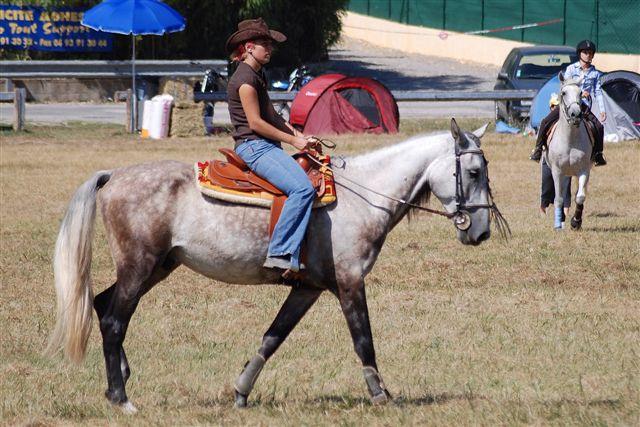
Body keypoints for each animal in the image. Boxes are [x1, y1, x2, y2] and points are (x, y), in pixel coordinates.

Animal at [45, 118, 508, 412]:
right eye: (473, 171)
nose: (481, 231)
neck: (362, 195)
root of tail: (114, 175)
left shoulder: (308, 288)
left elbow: (273, 337)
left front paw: (241, 393)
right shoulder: (350, 282)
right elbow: (363, 340)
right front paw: (381, 395)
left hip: (158, 266)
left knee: (103, 306)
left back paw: (121, 380)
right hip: (140, 265)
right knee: (114, 320)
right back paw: (121, 398)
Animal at [544, 72, 596, 231]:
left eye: (580, 93)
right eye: (564, 93)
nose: (576, 114)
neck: (570, 140)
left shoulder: (584, 170)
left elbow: (580, 196)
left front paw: (576, 222)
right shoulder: (557, 171)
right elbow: (559, 198)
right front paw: (558, 223)